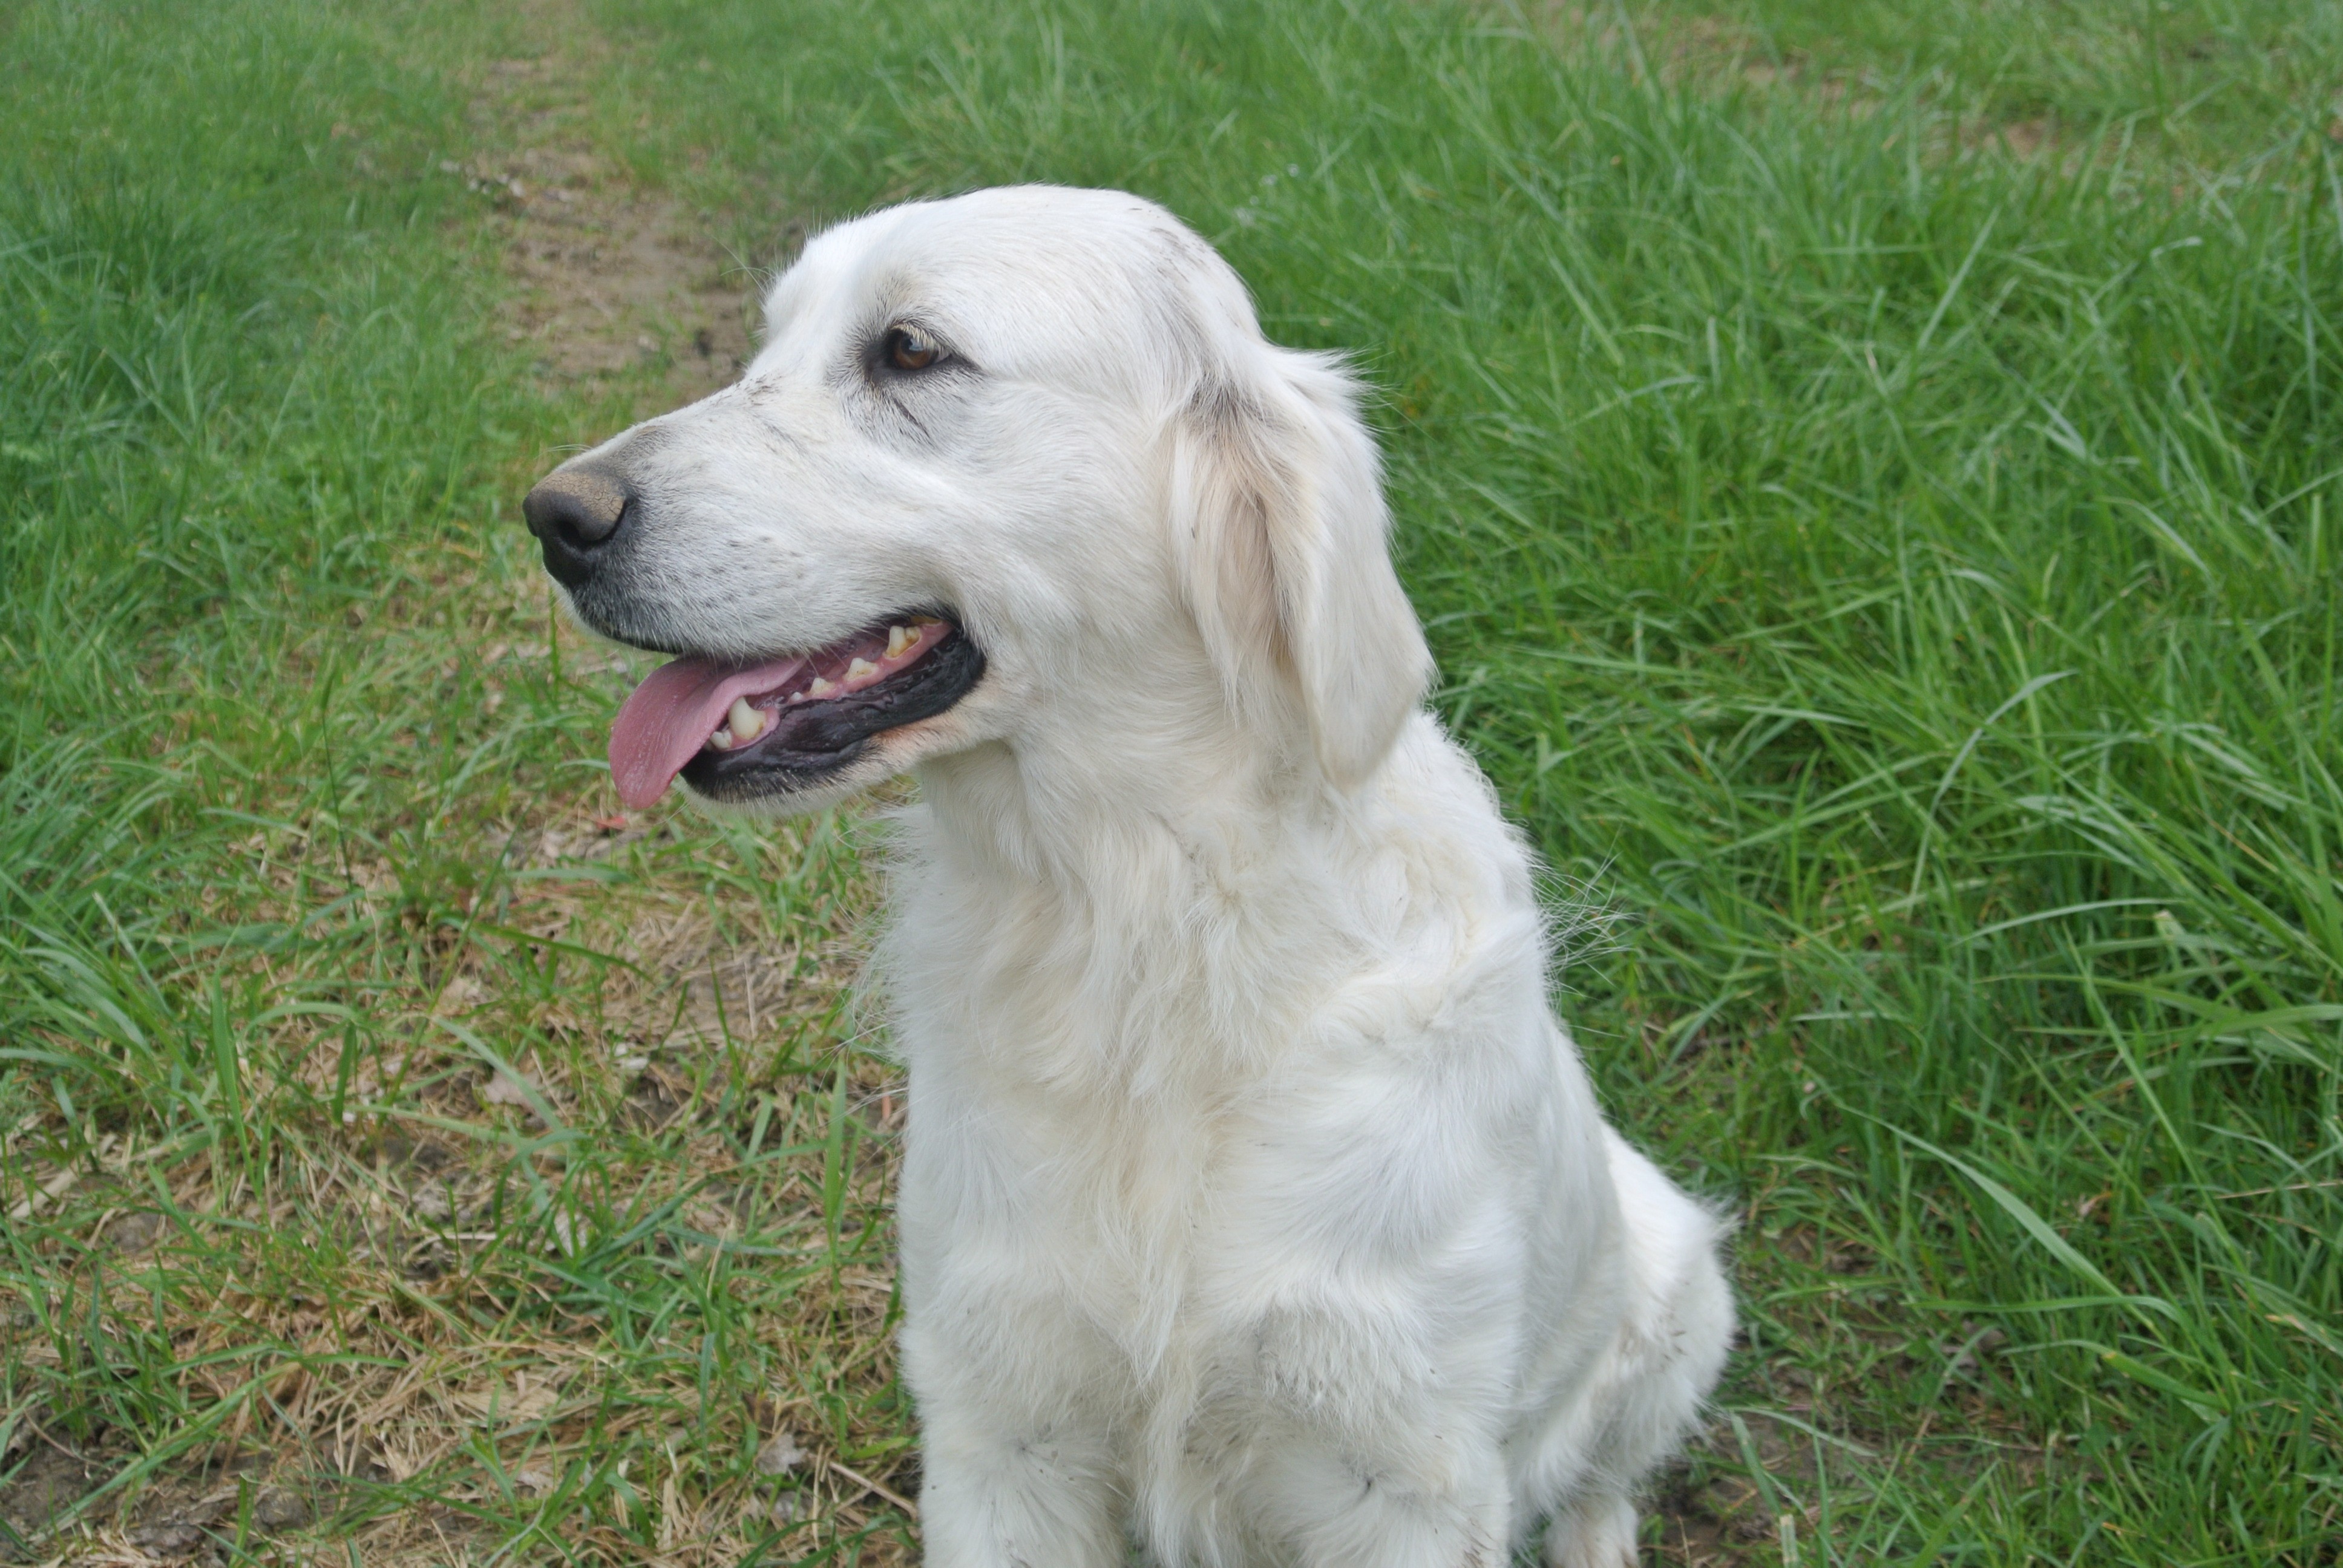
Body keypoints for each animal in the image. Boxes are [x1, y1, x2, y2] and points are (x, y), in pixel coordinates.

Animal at [536, 186, 1743, 1566]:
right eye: (765, 344)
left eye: (909, 350)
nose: (553, 517)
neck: (1138, 916)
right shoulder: (1001, 1431)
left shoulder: (1403, 1478)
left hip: (1683, 1290)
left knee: (1599, 1481)